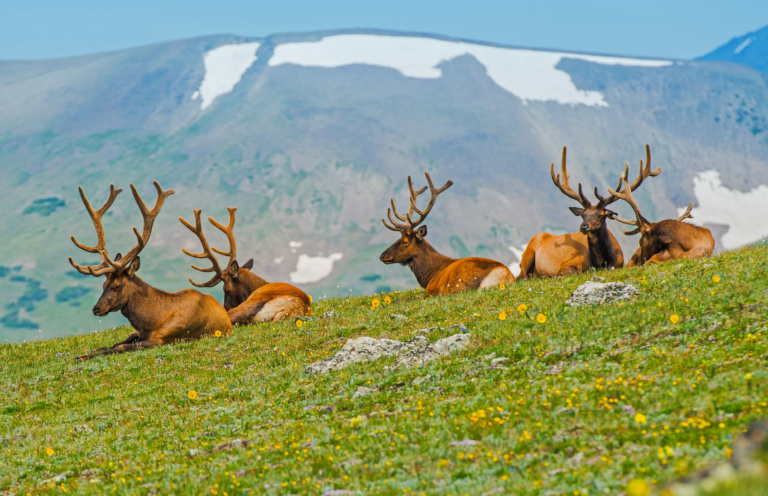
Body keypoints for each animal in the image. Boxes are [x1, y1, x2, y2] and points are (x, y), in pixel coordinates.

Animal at [69, 182, 232, 359]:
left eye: (117, 286)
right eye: (103, 285)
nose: (96, 309)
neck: (151, 322)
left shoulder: (163, 339)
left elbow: (119, 347)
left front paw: (81, 357)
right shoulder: (140, 334)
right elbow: (114, 345)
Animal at [379, 172, 515, 296]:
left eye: (405, 242)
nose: (382, 256)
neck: (430, 276)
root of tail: (505, 276)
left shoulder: (433, 290)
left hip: (458, 284)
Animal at [518, 145, 660, 278]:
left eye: (600, 215)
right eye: (583, 215)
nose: (584, 227)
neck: (601, 263)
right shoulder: (568, 264)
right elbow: (568, 272)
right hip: (528, 251)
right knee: (521, 276)